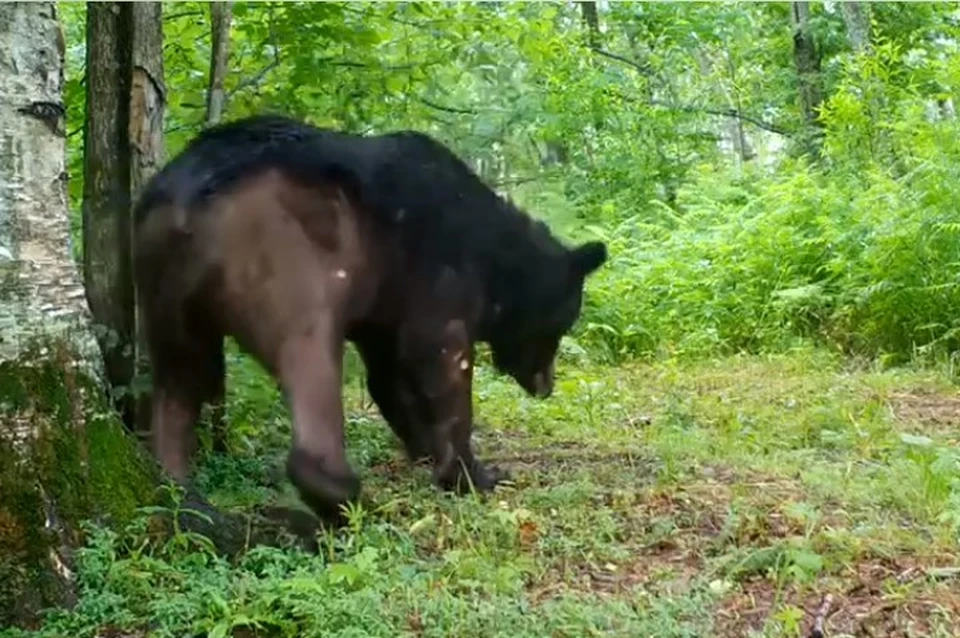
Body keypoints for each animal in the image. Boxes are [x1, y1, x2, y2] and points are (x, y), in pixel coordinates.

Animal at [133, 115, 608, 524]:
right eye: (563, 324)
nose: (547, 386)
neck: (495, 261)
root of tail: (187, 200)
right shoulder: (439, 276)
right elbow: (441, 364)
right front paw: (473, 473)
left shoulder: (384, 308)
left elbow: (388, 378)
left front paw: (425, 449)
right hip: (286, 266)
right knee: (311, 360)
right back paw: (343, 493)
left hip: (164, 290)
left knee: (179, 383)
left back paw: (180, 492)